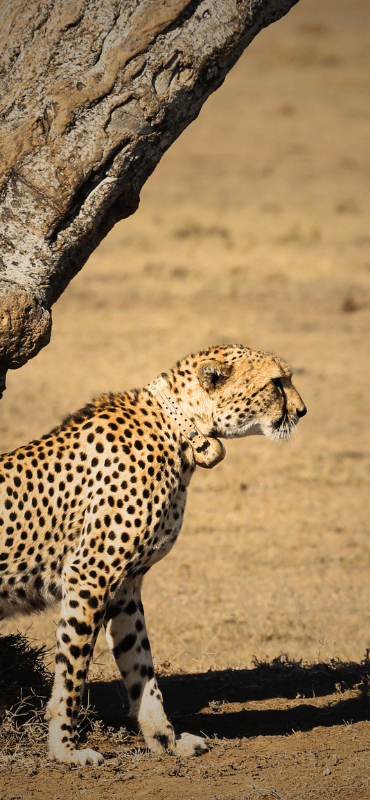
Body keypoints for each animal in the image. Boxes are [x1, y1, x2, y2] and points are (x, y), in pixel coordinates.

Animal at [0, 342, 306, 764]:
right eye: (276, 382)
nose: (302, 411)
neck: (181, 427)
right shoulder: (89, 575)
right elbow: (72, 671)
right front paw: (65, 749)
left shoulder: (125, 586)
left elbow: (140, 665)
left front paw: (165, 739)